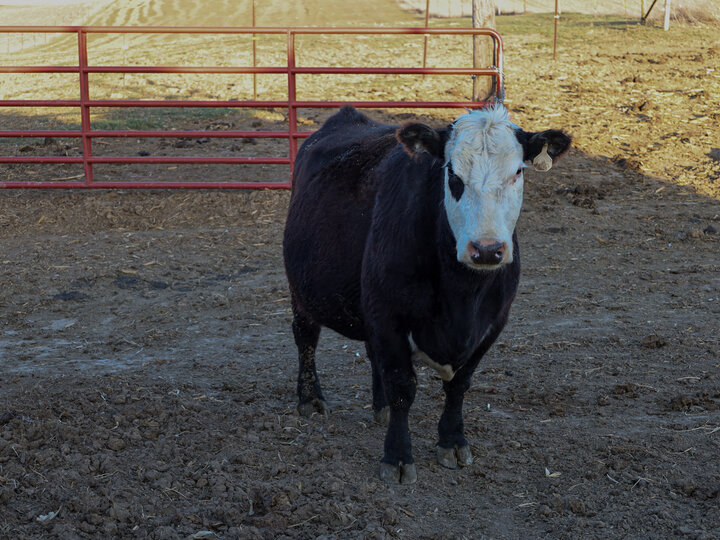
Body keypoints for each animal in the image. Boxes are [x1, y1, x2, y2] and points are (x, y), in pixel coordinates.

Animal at [282, 103, 568, 484]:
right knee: (306, 337)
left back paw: (381, 407)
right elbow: (403, 386)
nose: (487, 249)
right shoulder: (389, 315)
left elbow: (458, 385)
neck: (462, 296)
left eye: (517, 173)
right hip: (302, 292)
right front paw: (398, 457)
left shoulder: (493, 323)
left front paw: (453, 441)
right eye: (453, 176)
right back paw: (310, 399)